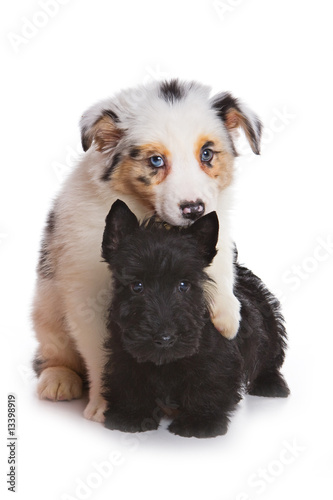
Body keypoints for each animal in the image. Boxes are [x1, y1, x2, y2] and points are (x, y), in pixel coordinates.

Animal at [32, 79, 262, 422]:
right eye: (156, 161)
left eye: (207, 154)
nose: (194, 209)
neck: (153, 219)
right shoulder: (86, 294)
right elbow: (103, 352)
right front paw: (108, 404)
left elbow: (216, 262)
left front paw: (226, 314)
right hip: (46, 308)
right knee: (53, 351)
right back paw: (58, 379)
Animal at [100, 199, 288, 438]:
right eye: (137, 286)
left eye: (184, 285)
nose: (165, 339)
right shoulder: (124, 354)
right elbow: (129, 382)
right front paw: (131, 415)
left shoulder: (215, 357)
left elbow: (207, 382)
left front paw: (199, 421)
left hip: (269, 326)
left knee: (268, 359)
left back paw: (271, 385)